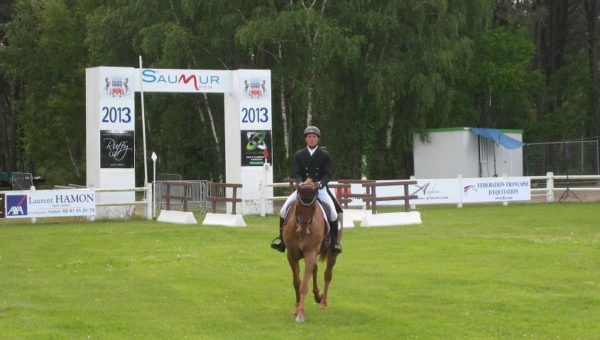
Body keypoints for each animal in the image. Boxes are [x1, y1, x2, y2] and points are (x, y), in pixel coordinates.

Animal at [282, 179, 342, 322]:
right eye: (298, 206)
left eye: (313, 207)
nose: (303, 232)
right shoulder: (291, 255)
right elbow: (296, 283)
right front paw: (296, 308)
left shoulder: (310, 254)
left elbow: (304, 285)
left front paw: (300, 314)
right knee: (315, 269)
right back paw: (317, 295)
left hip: (331, 254)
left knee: (327, 275)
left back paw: (323, 303)